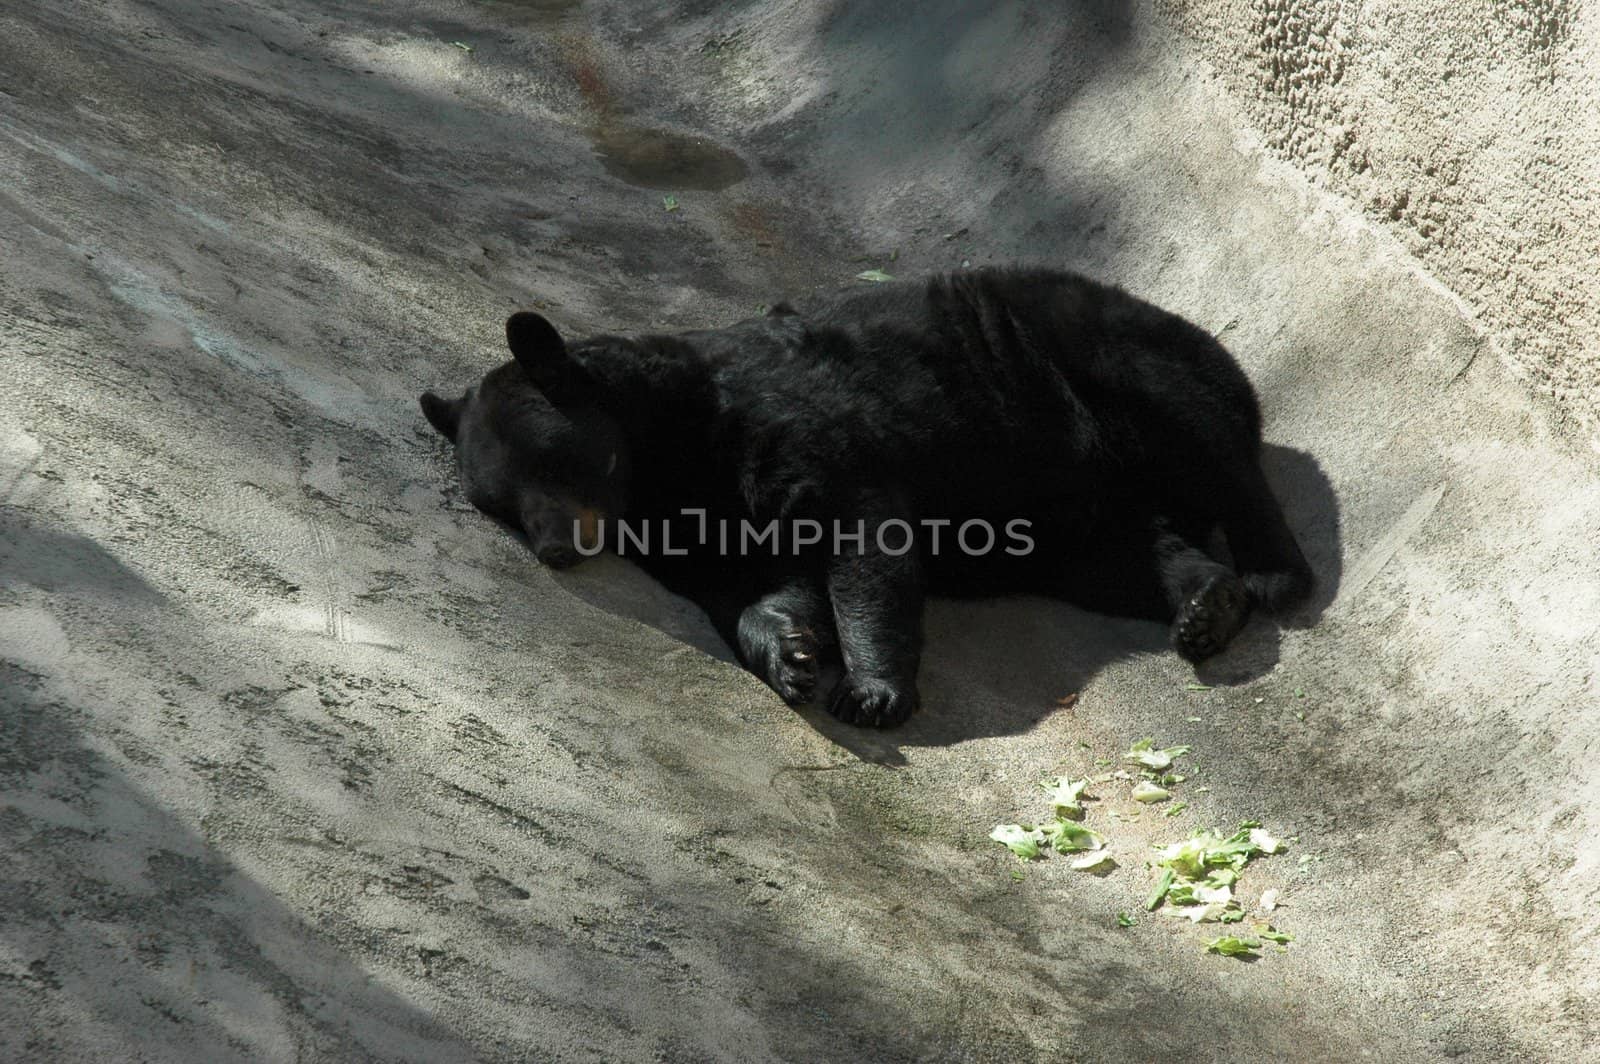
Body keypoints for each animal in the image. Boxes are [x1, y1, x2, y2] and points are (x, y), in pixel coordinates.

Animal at [422, 267, 1312, 729]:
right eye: (500, 503)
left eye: (550, 460)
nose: (554, 548)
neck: (669, 458)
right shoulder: (699, 531)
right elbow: (757, 588)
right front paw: (791, 655)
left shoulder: (793, 427)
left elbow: (862, 541)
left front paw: (872, 689)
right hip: (1071, 521)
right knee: (1134, 554)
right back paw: (1206, 606)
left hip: (1102, 364)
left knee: (1206, 440)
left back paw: (1271, 571)